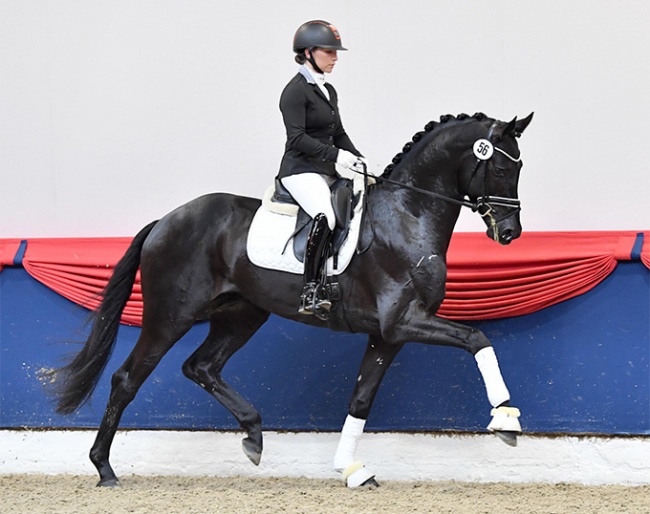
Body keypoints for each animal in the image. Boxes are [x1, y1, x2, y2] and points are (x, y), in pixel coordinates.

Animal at [54, 111, 532, 484]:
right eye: (501, 169)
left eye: (519, 167)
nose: (509, 233)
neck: (407, 216)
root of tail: (166, 220)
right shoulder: (402, 321)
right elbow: (476, 338)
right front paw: (506, 418)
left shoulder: (387, 335)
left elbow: (360, 400)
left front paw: (351, 469)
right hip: (169, 316)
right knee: (127, 378)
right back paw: (104, 469)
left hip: (242, 316)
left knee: (200, 366)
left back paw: (253, 435)